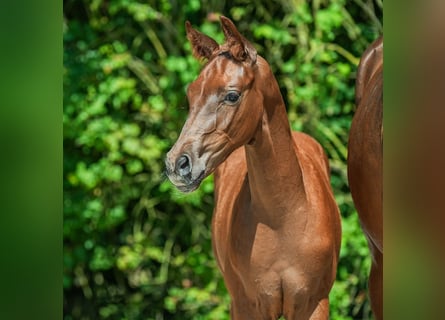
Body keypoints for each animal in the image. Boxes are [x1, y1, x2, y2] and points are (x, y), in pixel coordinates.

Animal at [165, 16, 342, 318]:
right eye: (190, 95)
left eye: (232, 95)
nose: (177, 163)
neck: (284, 217)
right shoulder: (249, 305)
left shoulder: (314, 303)